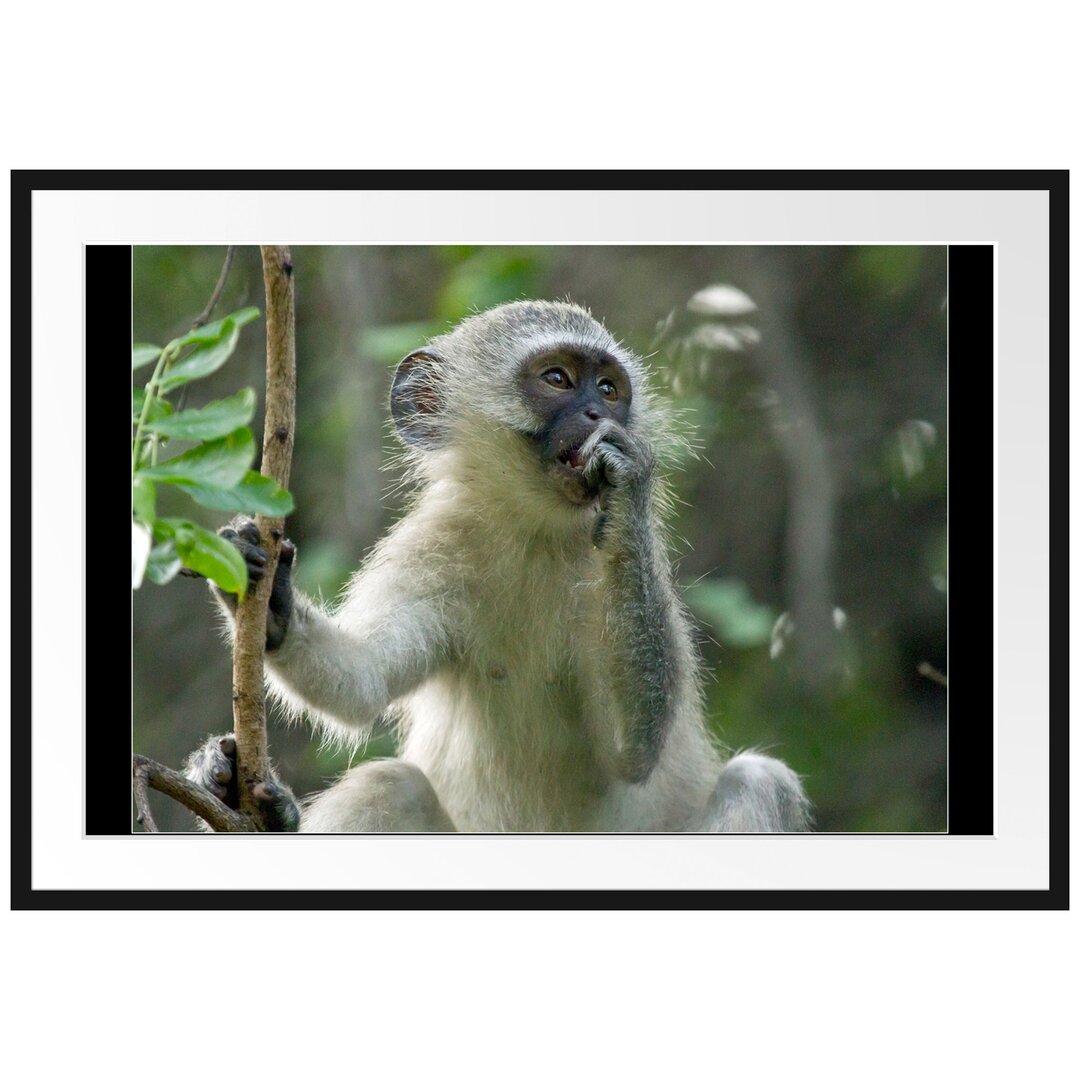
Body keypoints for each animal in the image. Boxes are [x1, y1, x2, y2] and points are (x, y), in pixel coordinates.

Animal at [185, 300, 812, 829]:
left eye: (610, 390)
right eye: (557, 379)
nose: (596, 413)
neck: (534, 531)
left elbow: (632, 748)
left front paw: (629, 481)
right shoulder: (433, 545)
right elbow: (362, 682)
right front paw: (267, 598)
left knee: (761, 782)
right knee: (386, 785)